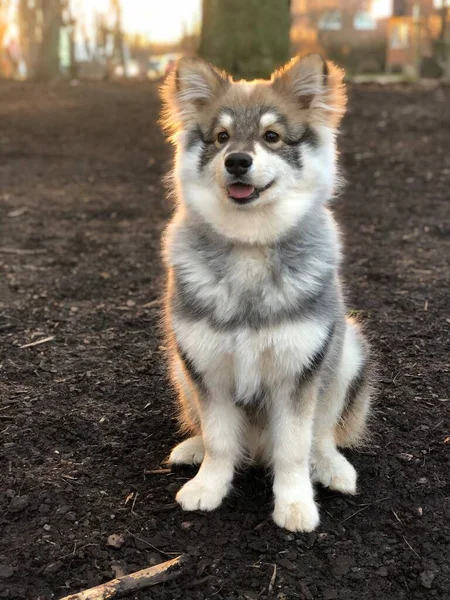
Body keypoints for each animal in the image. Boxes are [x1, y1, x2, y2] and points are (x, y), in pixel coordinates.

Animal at [160, 51, 370, 528]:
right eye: (221, 137)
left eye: (272, 136)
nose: (237, 161)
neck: (250, 247)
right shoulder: (207, 367)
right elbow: (219, 439)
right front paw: (208, 485)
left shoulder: (299, 371)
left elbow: (294, 447)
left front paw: (295, 504)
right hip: (181, 369)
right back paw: (191, 448)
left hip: (346, 354)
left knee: (322, 434)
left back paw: (331, 467)